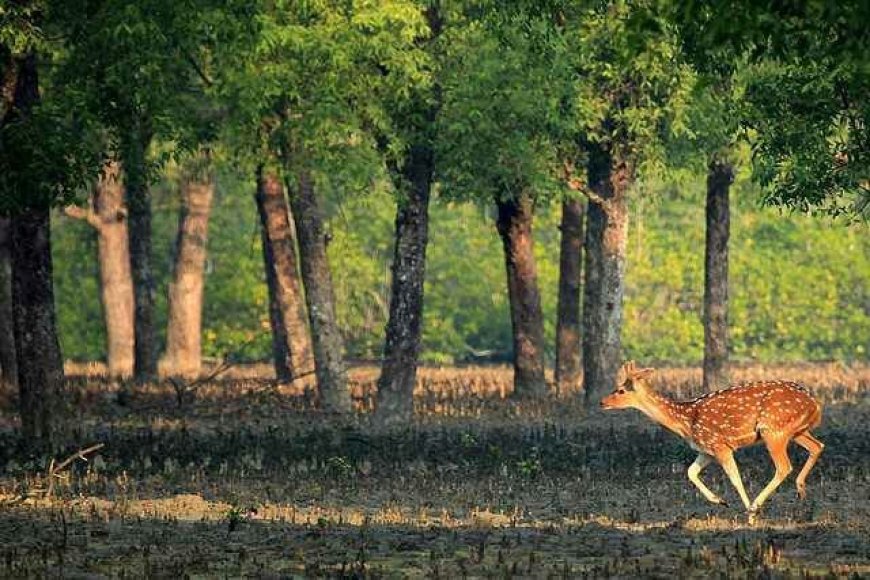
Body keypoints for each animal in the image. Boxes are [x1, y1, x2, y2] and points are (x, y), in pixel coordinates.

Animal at [604, 362, 828, 520]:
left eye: (621, 390)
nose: (602, 402)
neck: (686, 421)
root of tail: (815, 404)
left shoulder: (720, 445)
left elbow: (735, 478)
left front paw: (749, 515)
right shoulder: (706, 449)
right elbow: (690, 472)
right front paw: (720, 501)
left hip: (772, 430)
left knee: (784, 466)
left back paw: (756, 505)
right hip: (796, 431)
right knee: (817, 446)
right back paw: (801, 491)